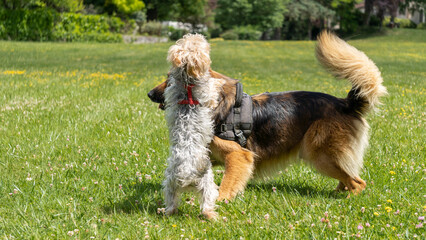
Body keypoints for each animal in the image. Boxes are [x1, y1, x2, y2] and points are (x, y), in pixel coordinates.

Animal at [162, 33, 223, 219]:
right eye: (200, 44)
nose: (198, 34)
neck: (187, 83)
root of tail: (186, 173)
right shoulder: (208, 96)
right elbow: (213, 88)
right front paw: (219, 81)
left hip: (170, 184)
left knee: (171, 203)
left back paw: (167, 211)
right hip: (207, 182)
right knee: (206, 205)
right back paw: (212, 215)